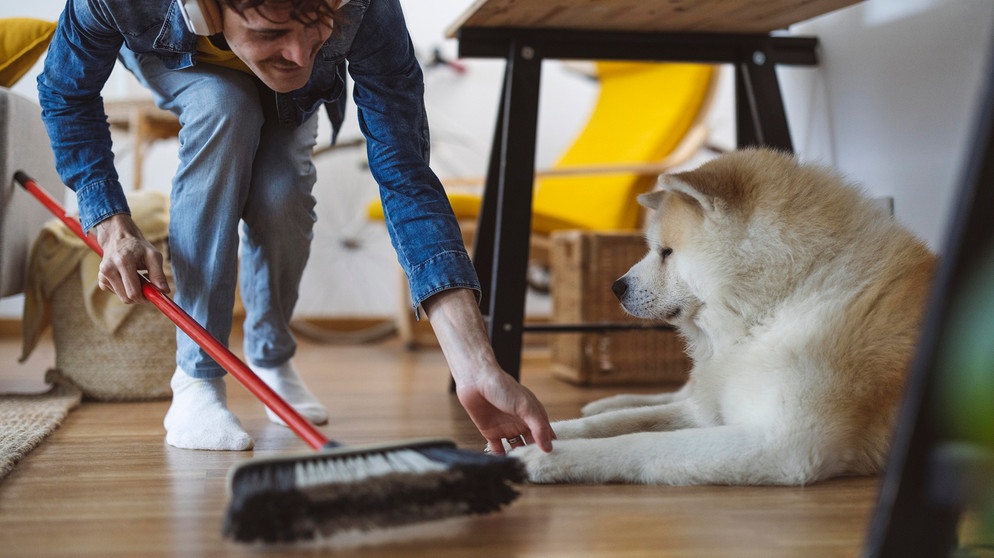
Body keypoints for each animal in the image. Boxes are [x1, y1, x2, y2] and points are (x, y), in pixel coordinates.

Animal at [512, 148, 936, 486]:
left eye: (666, 252)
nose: (615, 287)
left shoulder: (784, 444)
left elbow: (639, 441)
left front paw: (545, 456)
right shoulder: (712, 412)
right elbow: (618, 424)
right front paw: (542, 431)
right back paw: (610, 400)